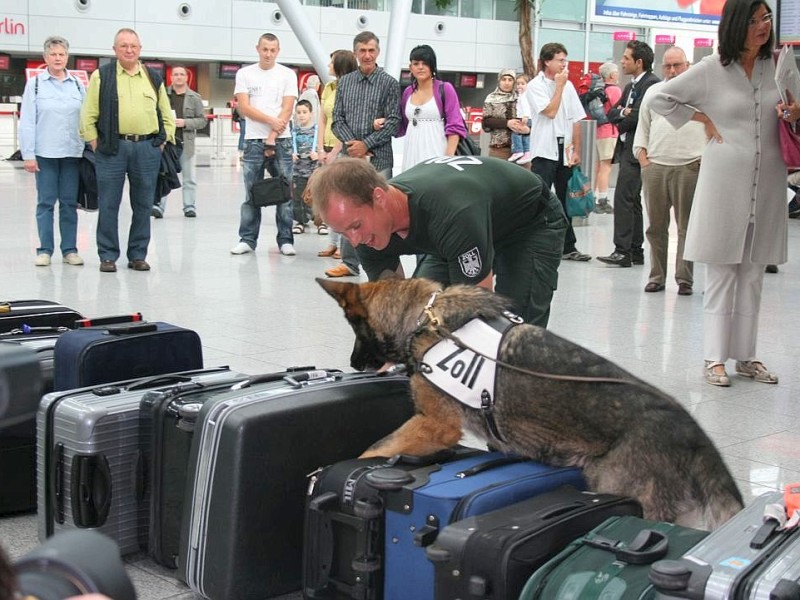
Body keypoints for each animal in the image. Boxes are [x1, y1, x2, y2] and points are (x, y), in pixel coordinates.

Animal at [318, 276, 744, 528]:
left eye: (355, 329)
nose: (352, 364)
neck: (424, 317)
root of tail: (691, 430)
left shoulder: (432, 425)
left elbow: (372, 450)